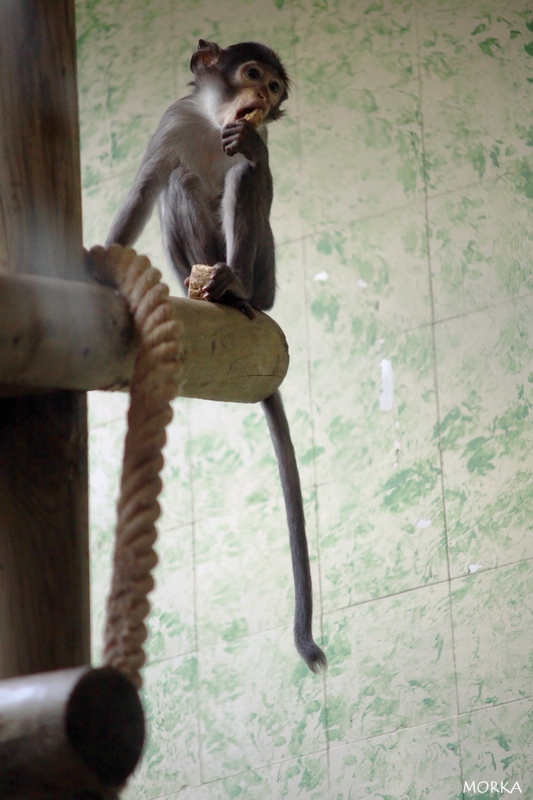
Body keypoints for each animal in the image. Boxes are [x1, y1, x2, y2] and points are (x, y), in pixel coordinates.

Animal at [105, 39, 326, 676]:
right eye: (251, 74)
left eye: (274, 89)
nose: (262, 98)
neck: (211, 124)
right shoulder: (173, 122)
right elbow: (147, 188)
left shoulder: (253, 136)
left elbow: (256, 169)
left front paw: (251, 150)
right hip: (185, 260)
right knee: (180, 182)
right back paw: (210, 290)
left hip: (268, 271)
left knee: (243, 185)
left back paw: (236, 289)